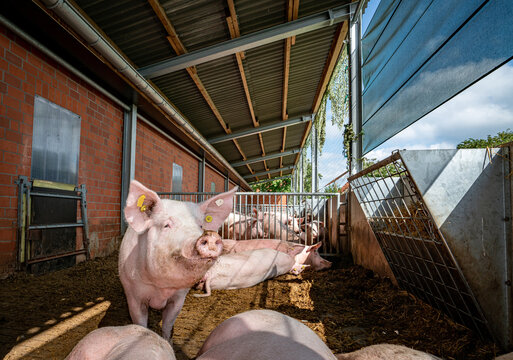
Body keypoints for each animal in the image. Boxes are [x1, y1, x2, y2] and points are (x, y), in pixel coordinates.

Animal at [119, 180, 235, 340]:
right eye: (167, 225)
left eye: (200, 226)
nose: (210, 237)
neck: (162, 287)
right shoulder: (134, 294)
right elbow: (140, 323)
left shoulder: (179, 297)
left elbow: (168, 325)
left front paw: (168, 340)